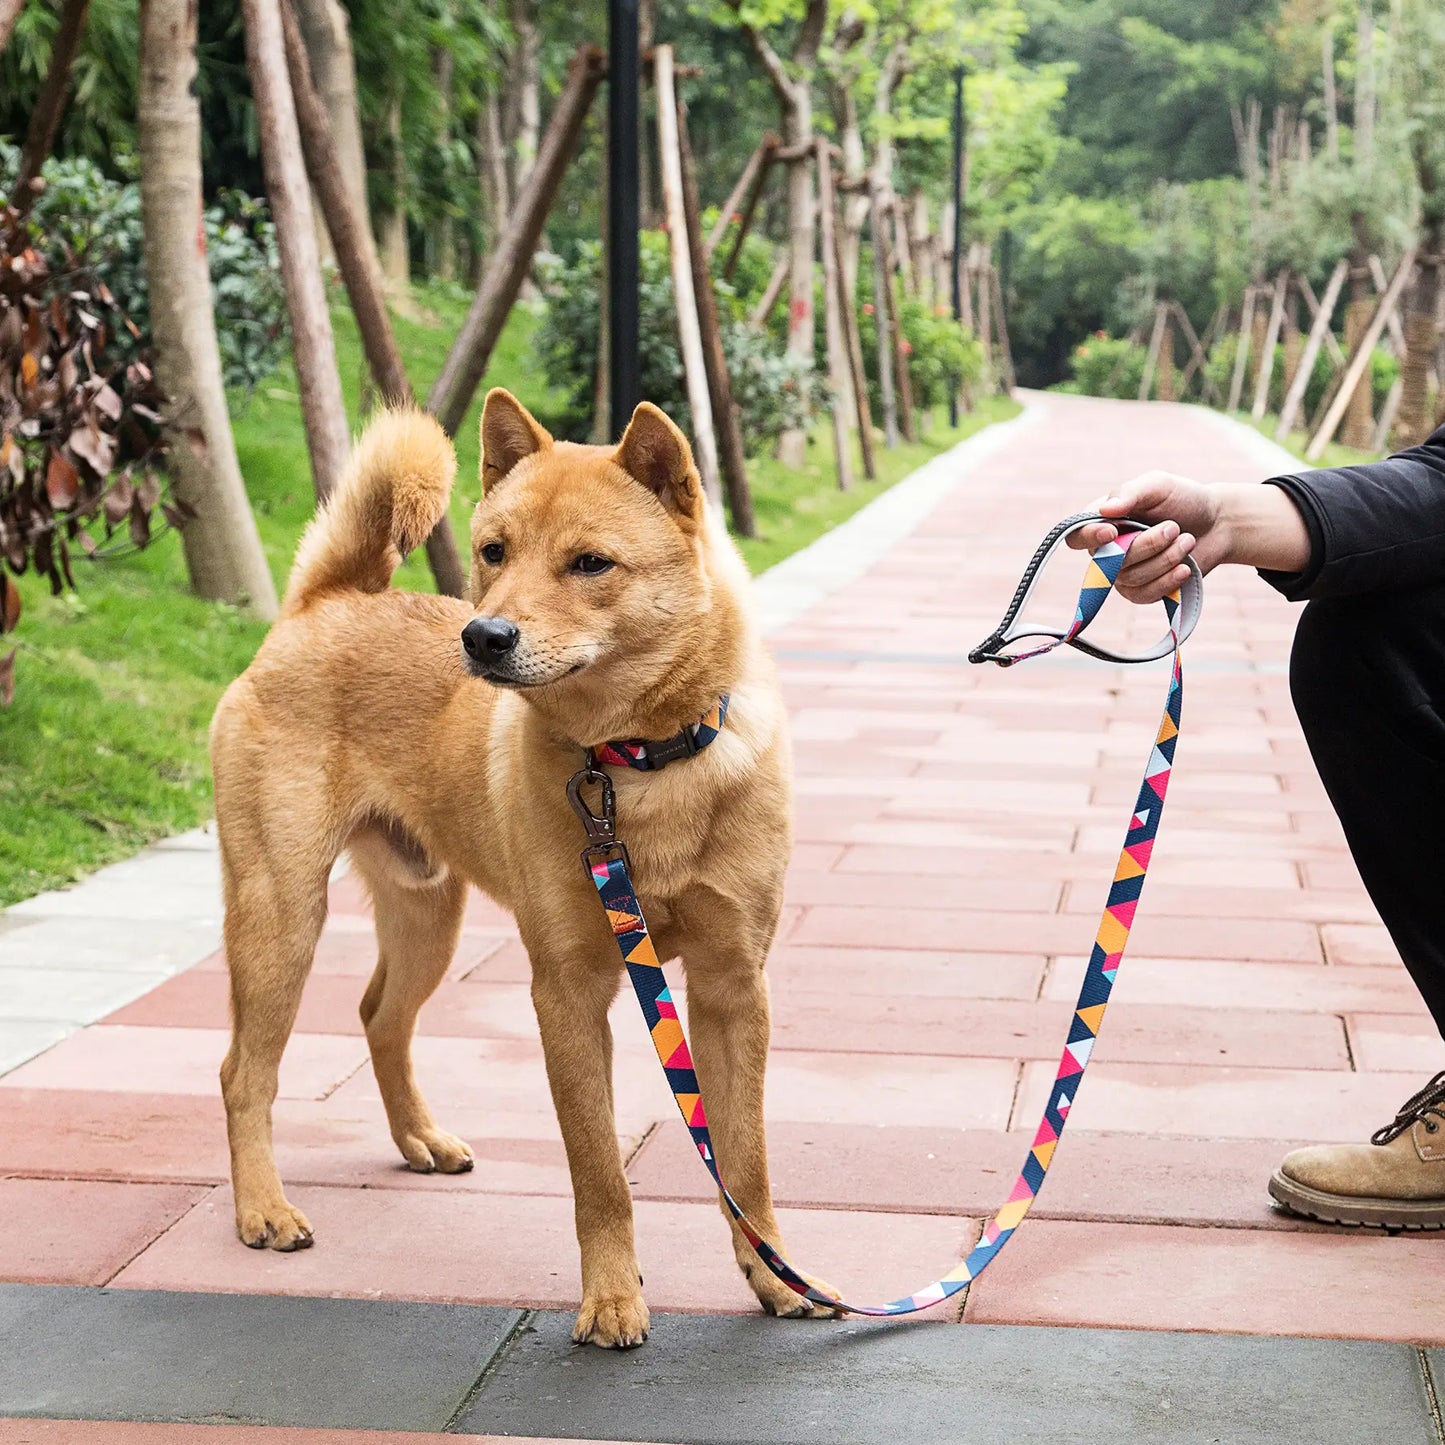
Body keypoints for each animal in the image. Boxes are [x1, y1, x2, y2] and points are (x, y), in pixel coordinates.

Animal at [209, 393, 838, 1340]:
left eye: (590, 563)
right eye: (493, 551)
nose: (482, 635)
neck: (633, 762)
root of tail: (326, 601)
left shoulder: (733, 987)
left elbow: (746, 1159)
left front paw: (774, 1273)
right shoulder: (568, 990)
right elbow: (598, 1170)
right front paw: (611, 1296)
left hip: (426, 915)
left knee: (378, 1015)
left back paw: (419, 1138)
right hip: (280, 914)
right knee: (244, 1072)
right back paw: (262, 1210)